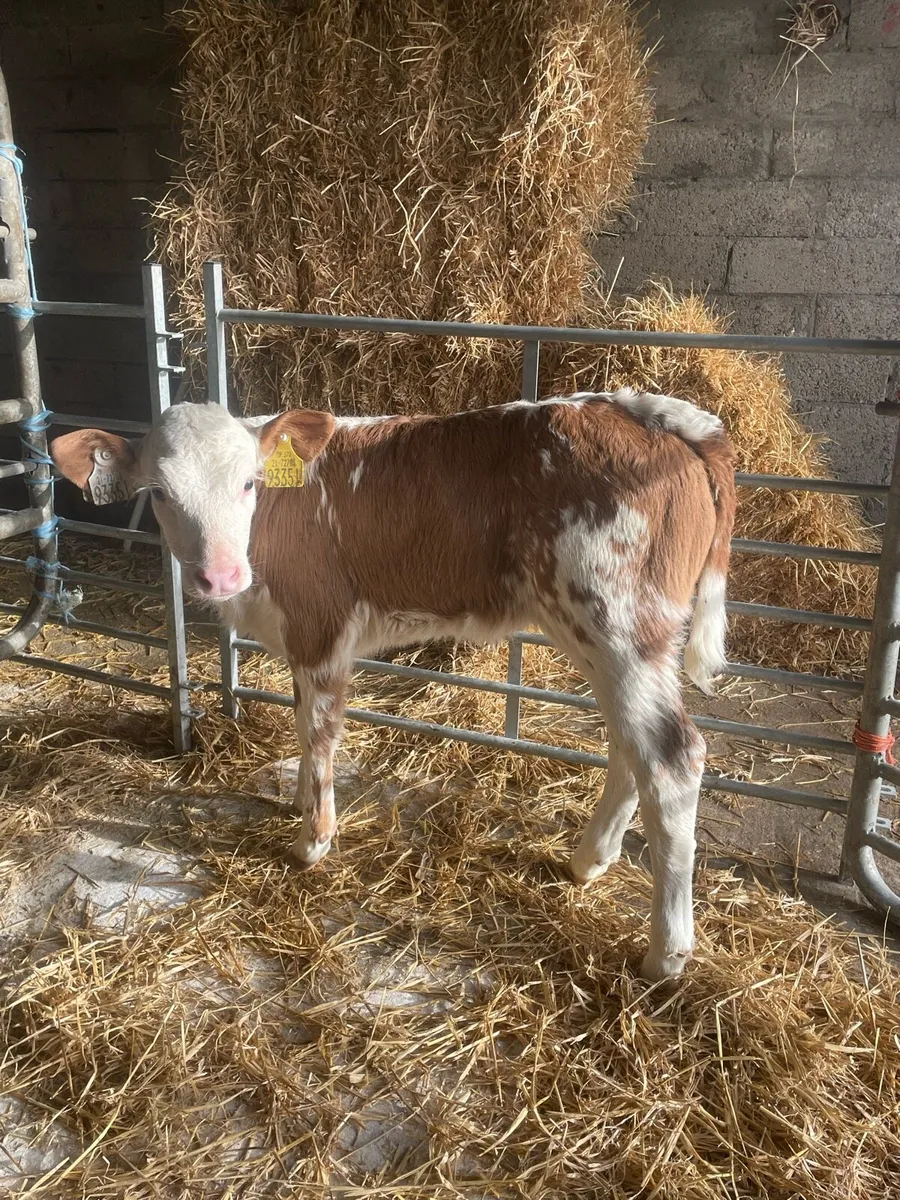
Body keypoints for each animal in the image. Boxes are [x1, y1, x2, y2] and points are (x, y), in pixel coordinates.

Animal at [51, 388, 735, 981]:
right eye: (161, 493)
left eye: (248, 482)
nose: (219, 576)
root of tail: (648, 413)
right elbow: (301, 726)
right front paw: (301, 804)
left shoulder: (320, 628)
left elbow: (318, 731)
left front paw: (312, 841)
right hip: (599, 631)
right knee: (630, 744)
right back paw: (589, 860)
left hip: (621, 617)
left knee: (673, 757)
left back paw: (666, 954)